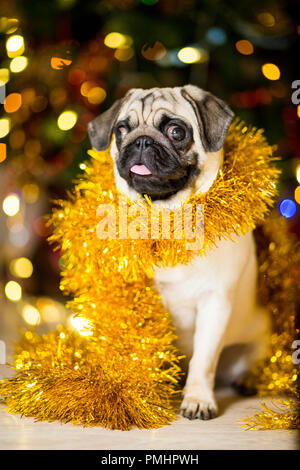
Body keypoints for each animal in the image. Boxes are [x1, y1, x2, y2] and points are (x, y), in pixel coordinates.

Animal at [88, 86, 270, 420]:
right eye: (121, 130)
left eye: (176, 132)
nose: (141, 141)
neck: (167, 219)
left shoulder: (215, 305)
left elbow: (204, 360)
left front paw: (198, 399)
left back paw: (250, 379)